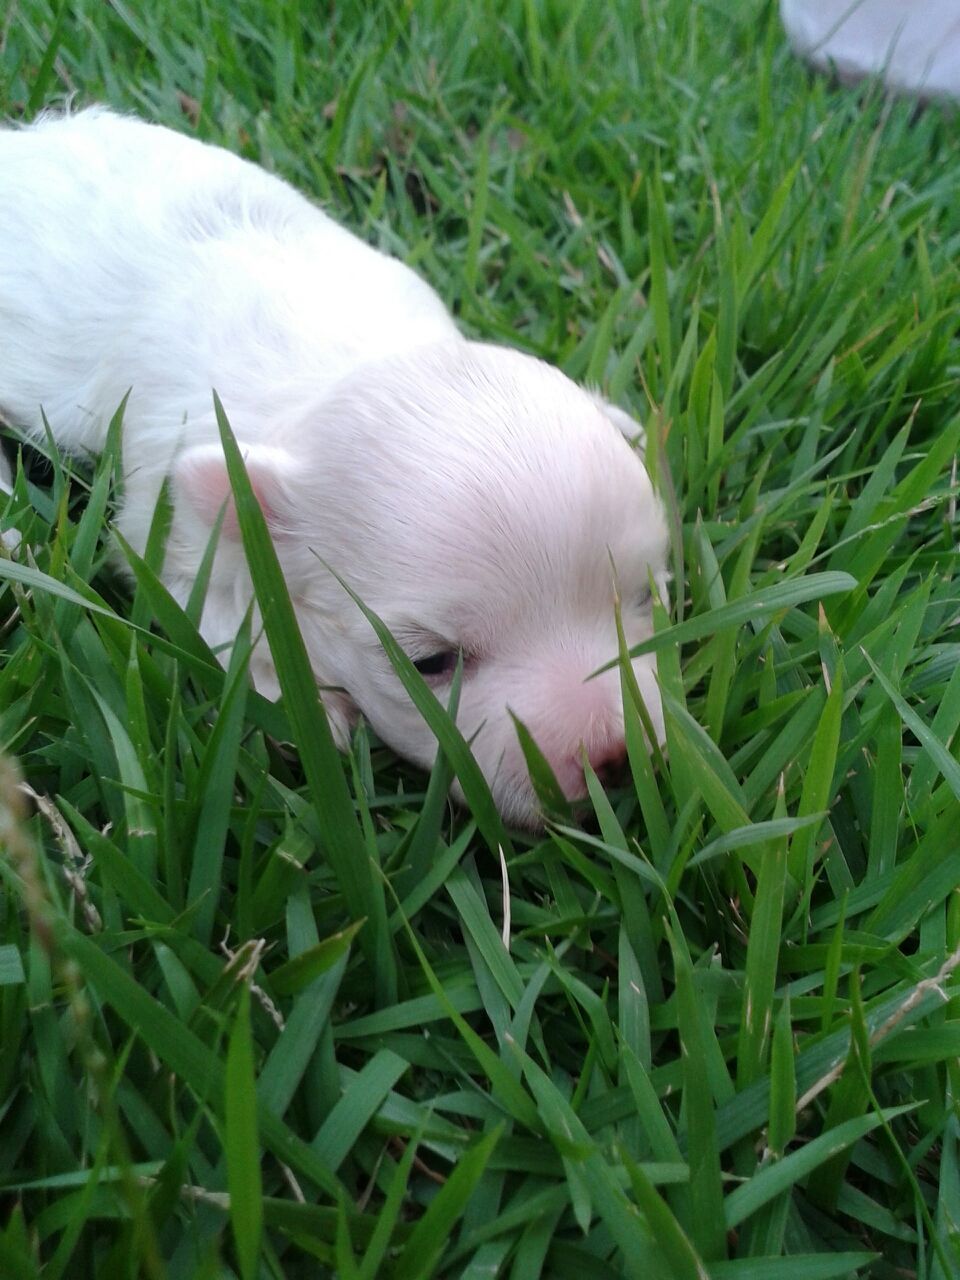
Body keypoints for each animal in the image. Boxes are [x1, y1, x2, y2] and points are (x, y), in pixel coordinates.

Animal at [0, 110, 670, 829]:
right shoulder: (172, 522)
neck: (352, 363)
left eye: (643, 597)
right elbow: (205, 602)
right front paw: (298, 702)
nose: (613, 757)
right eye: (429, 663)